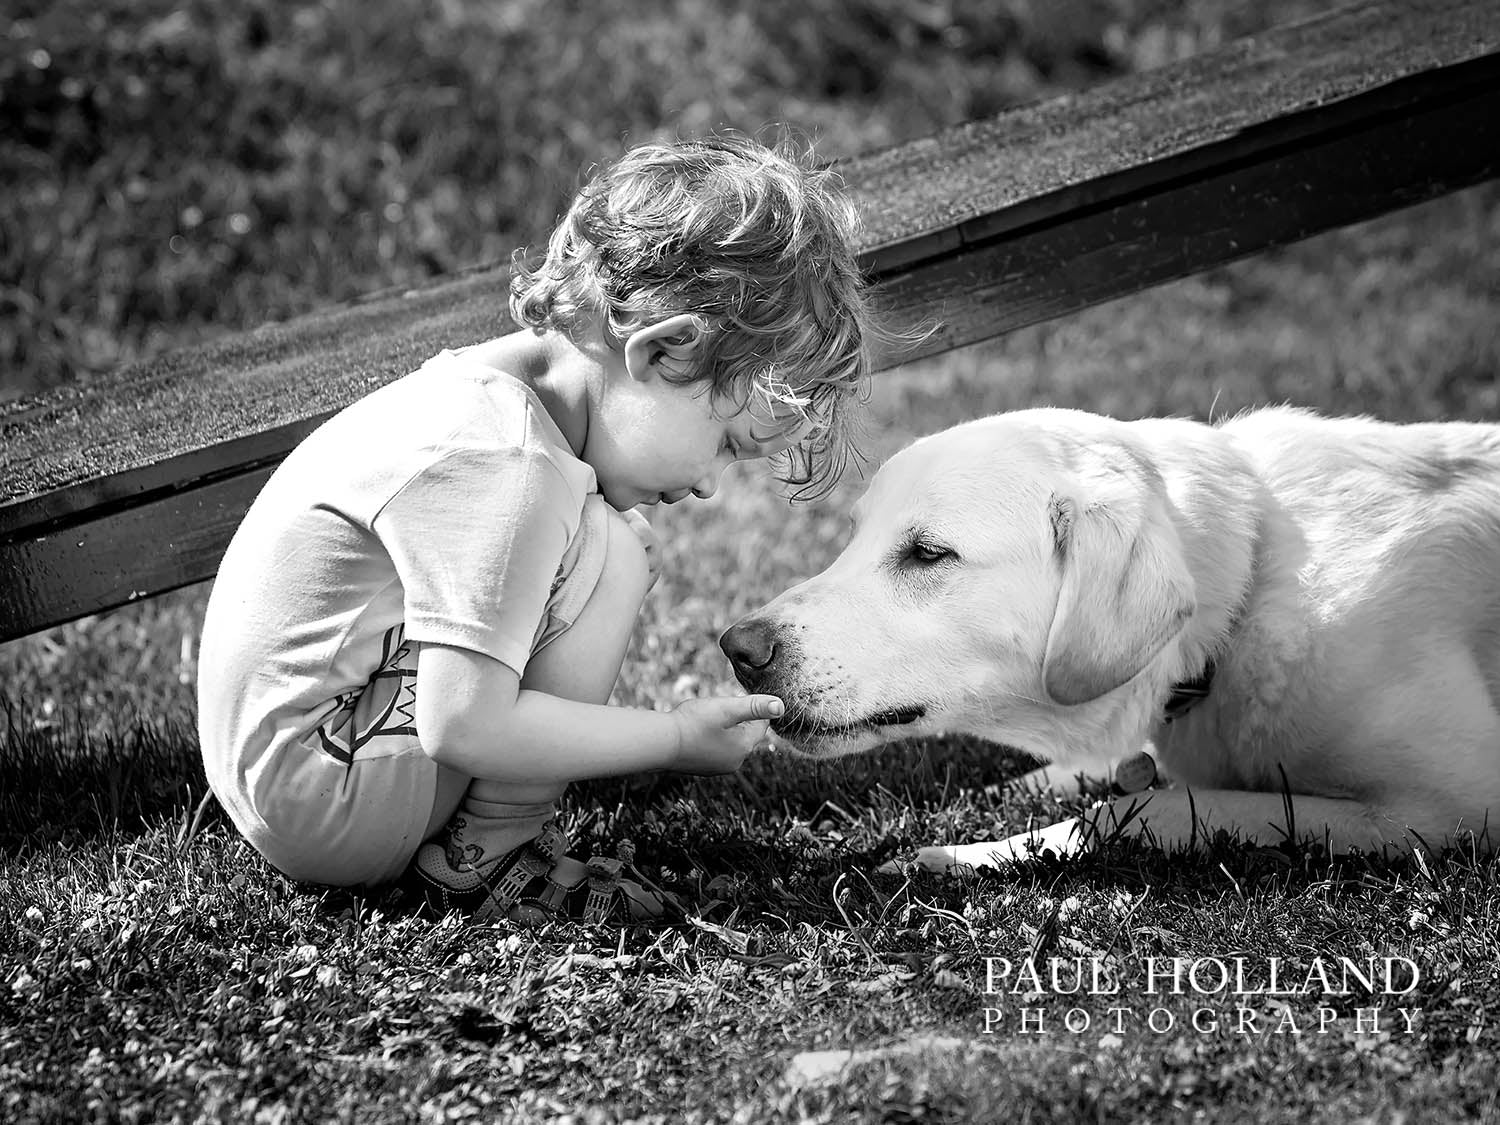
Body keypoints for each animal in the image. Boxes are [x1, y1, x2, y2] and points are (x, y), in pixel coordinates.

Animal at [720, 405, 1494, 870]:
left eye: (928, 553)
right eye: (851, 538)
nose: (737, 648)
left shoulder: (1446, 809)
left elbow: (1141, 804)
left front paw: (958, 854)